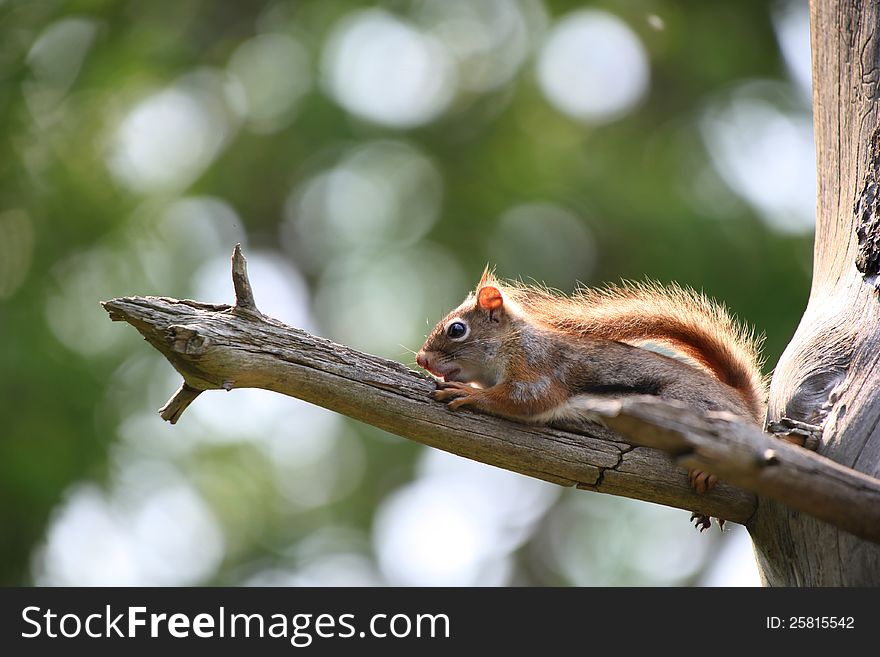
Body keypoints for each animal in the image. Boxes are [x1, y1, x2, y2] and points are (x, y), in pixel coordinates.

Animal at [416, 266, 768, 528]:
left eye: (456, 330)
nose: (421, 359)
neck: (511, 343)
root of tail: (744, 404)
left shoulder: (539, 367)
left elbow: (525, 401)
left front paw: (470, 394)